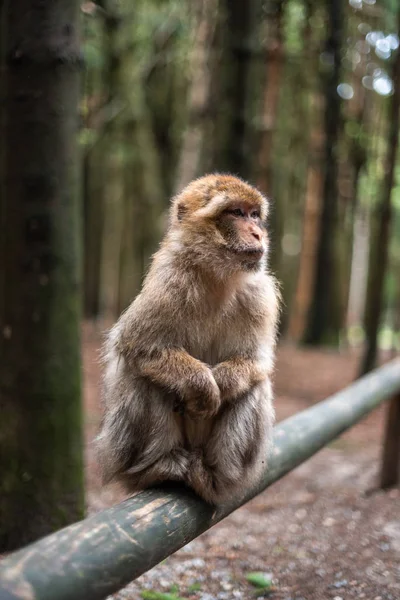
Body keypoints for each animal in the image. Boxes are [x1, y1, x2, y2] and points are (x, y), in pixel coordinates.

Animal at [95, 175, 280, 506]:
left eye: (254, 215)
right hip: (120, 450)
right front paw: (203, 385)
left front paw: (223, 382)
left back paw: (218, 478)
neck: (217, 276)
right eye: (236, 212)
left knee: (255, 386)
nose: (258, 233)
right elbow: (137, 346)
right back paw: (157, 468)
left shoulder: (261, 295)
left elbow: (256, 361)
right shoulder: (168, 281)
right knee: (143, 377)